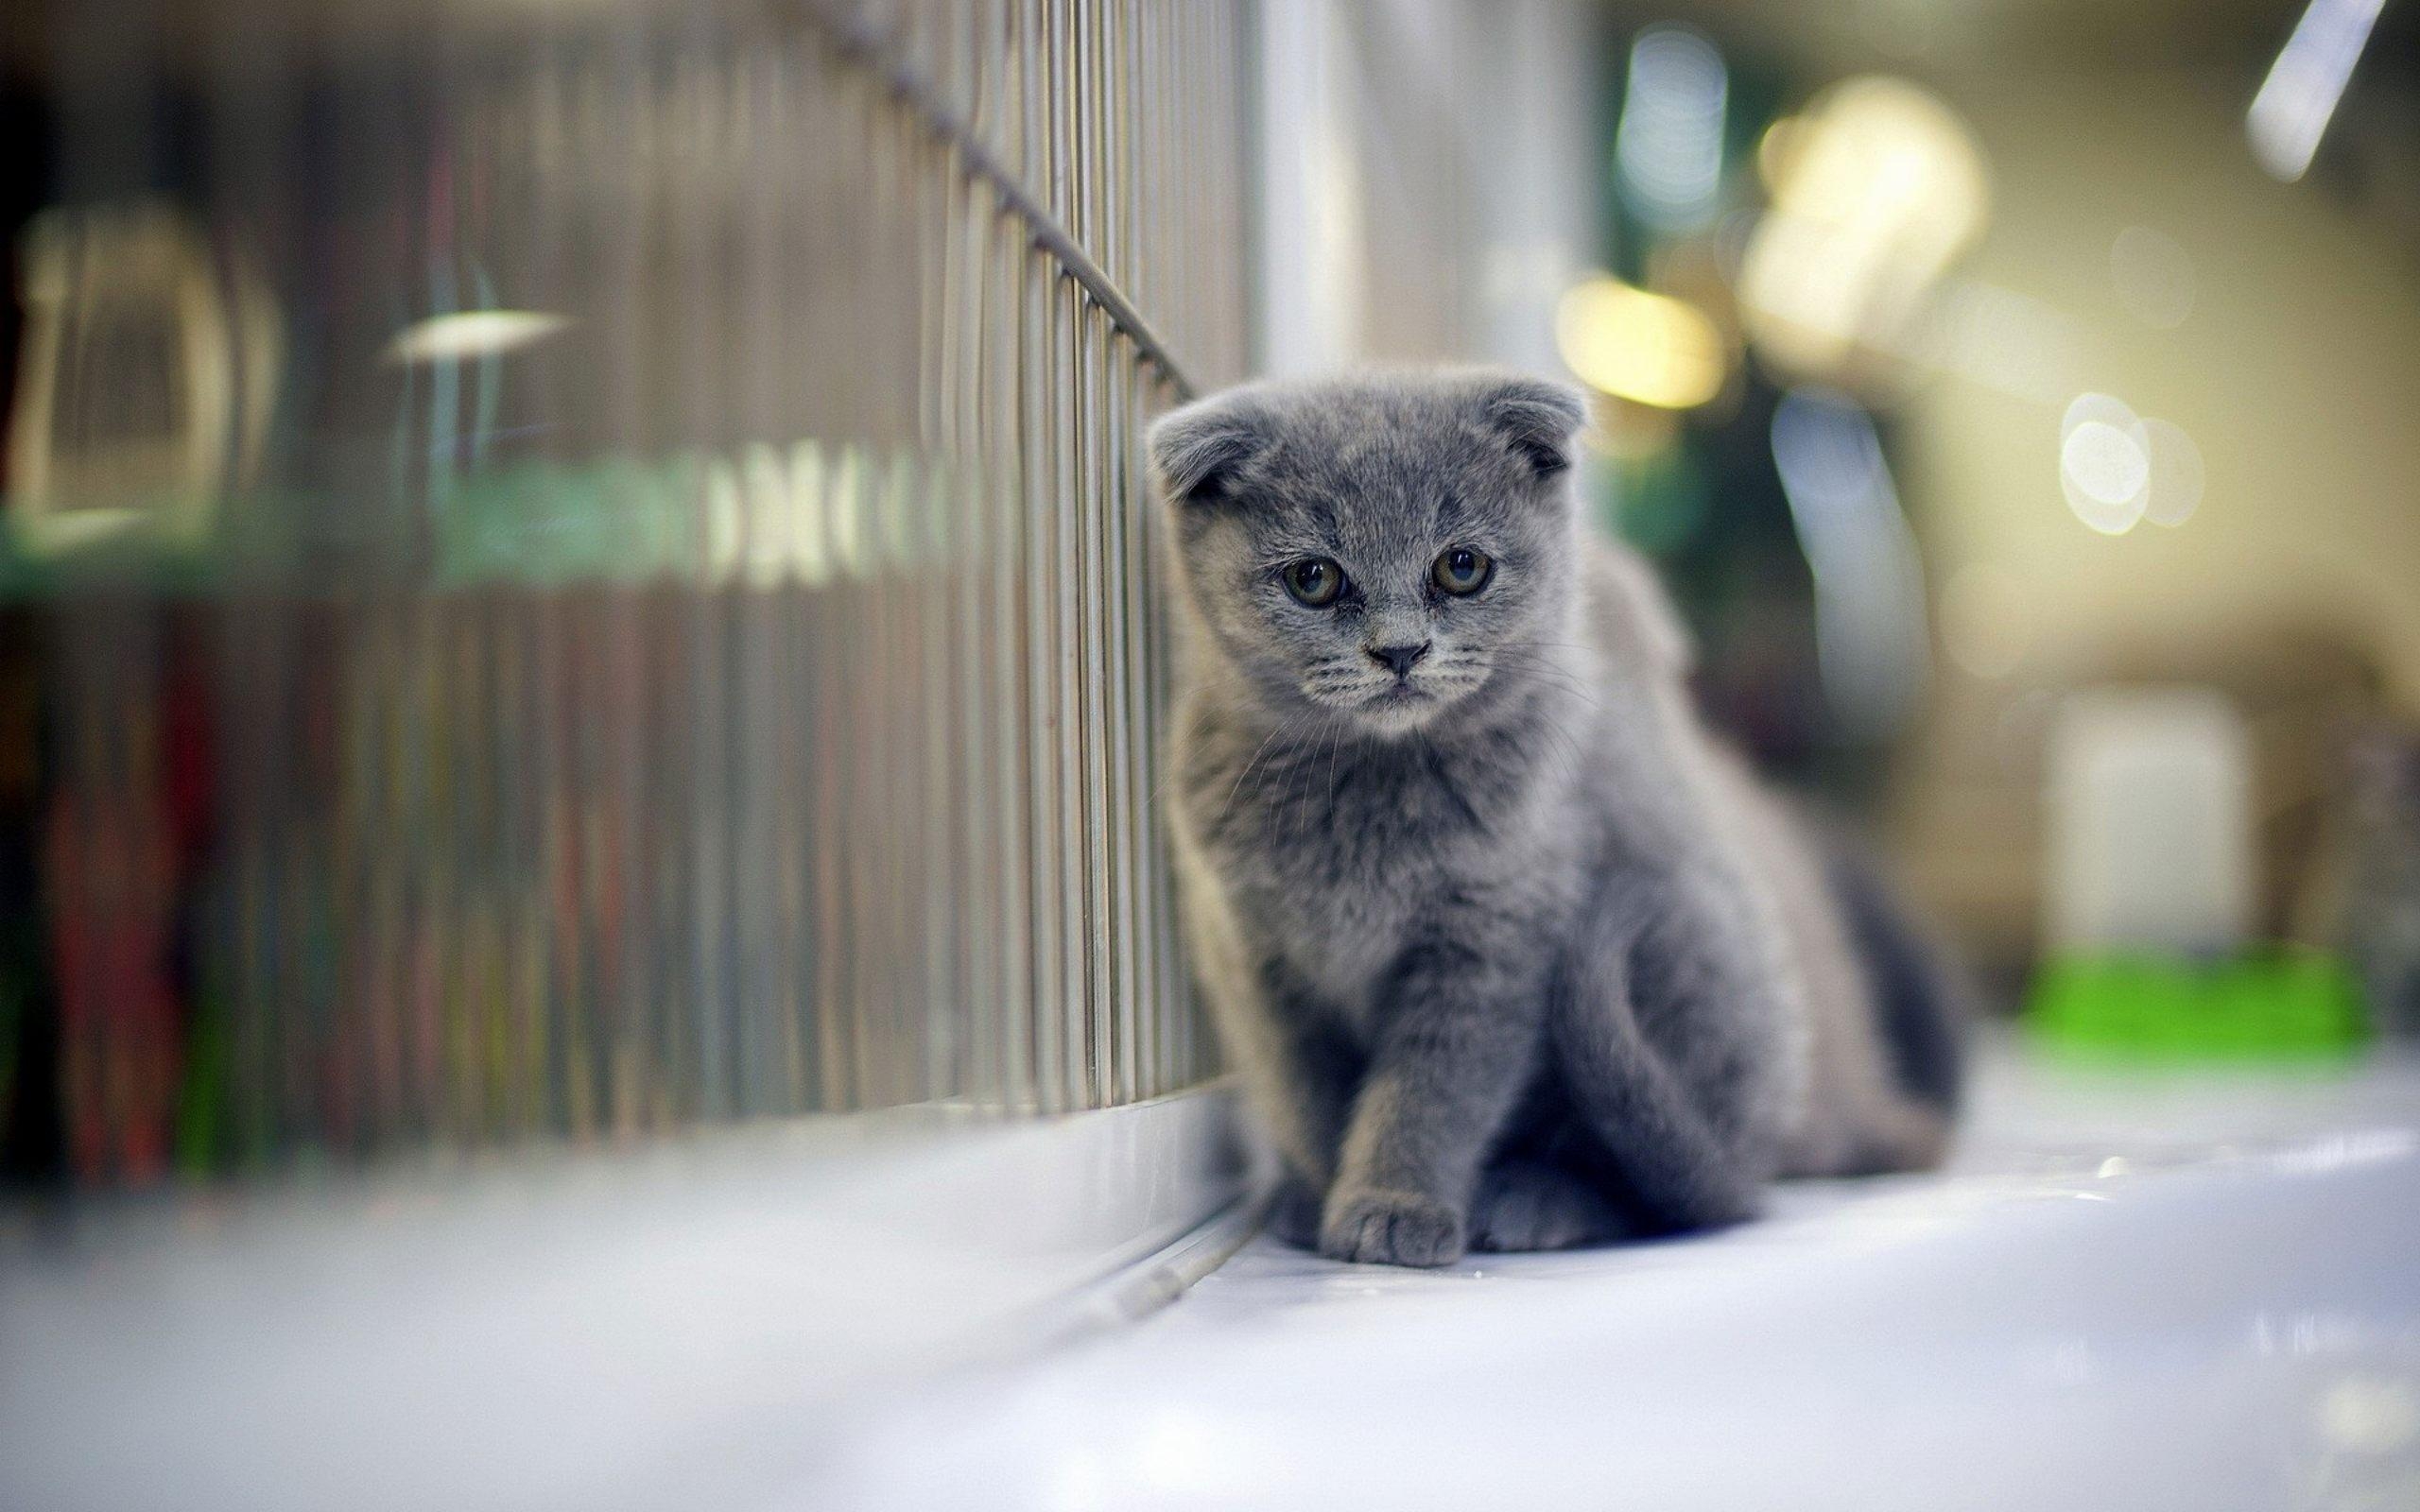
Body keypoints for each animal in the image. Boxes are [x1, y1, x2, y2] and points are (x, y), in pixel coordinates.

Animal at [1142, 365, 1955, 1258]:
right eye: (1313, 578)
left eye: (1461, 567)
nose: (1400, 650)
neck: (1370, 789)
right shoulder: (1255, 958)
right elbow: (1305, 1091)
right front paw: (1316, 1198)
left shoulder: (1496, 943)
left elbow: (1432, 1093)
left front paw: (1393, 1208)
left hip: (1685, 941)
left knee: (1670, 1190)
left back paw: (1538, 1200)